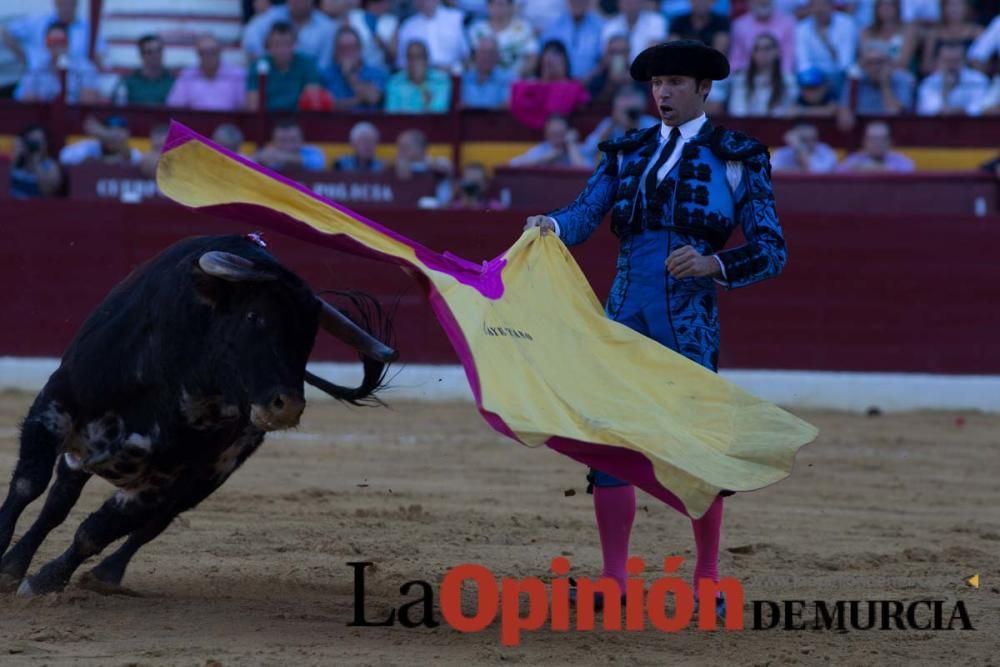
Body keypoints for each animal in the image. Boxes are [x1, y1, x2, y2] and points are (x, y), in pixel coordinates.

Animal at [0, 235, 398, 596]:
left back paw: (105, 576)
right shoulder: (54, 407)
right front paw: (7, 565)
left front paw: (45, 581)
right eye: (254, 315)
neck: (171, 372)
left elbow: (96, 531)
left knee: (153, 523)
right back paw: (17, 562)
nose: (287, 405)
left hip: (210, 474)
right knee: (59, 498)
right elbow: (28, 485)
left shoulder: (164, 479)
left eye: (310, 336)